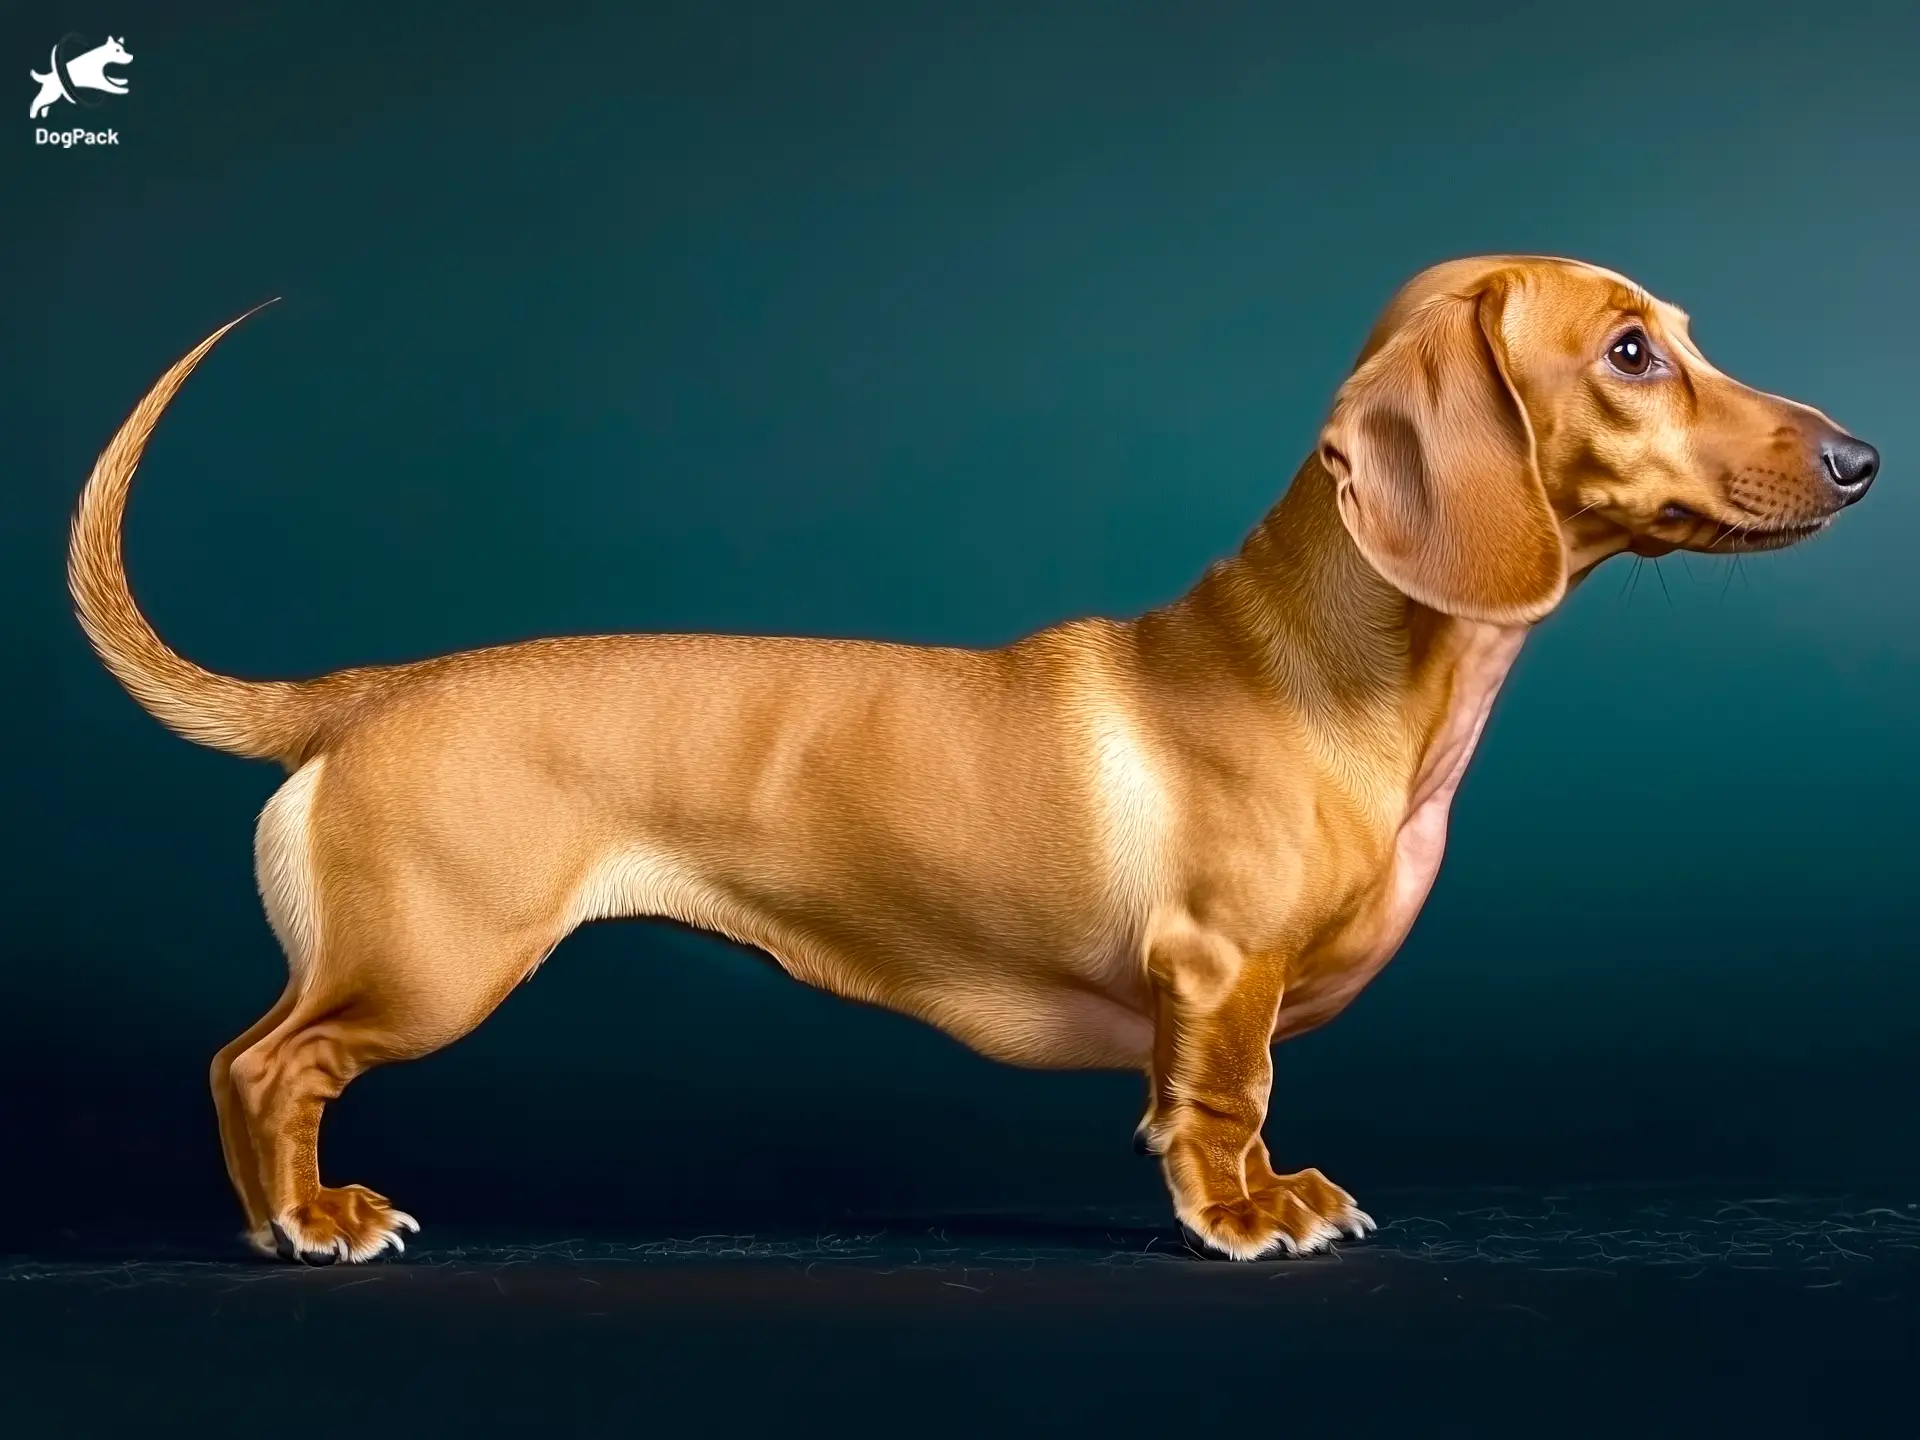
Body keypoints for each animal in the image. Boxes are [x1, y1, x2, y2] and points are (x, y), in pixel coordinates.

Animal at [71, 257, 1873, 1259]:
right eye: (1631, 352)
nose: (1862, 456)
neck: (1331, 672)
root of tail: (365, 692)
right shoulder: (1217, 974)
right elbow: (1220, 1107)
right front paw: (1247, 1218)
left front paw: (1283, 1190)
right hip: (429, 960)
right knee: (261, 1066)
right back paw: (308, 1222)